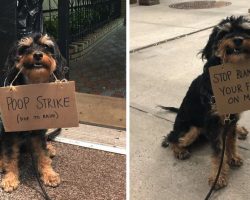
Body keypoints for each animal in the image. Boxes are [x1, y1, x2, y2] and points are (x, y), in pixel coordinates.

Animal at [0, 32, 67, 192]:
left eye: (46, 46)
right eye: (25, 48)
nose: (37, 55)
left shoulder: (37, 132)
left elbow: (42, 154)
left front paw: (49, 174)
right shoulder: (9, 133)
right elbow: (10, 156)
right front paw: (10, 179)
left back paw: (49, 149)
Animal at [161, 15, 250, 189]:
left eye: (245, 30)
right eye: (224, 33)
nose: (238, 39)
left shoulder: (231, 119)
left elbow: (231, 141)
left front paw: (233, 157)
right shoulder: (214, 123)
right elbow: (218, 153)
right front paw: (218, 177)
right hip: (191, 130)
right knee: (171, 137)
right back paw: (179, 151)